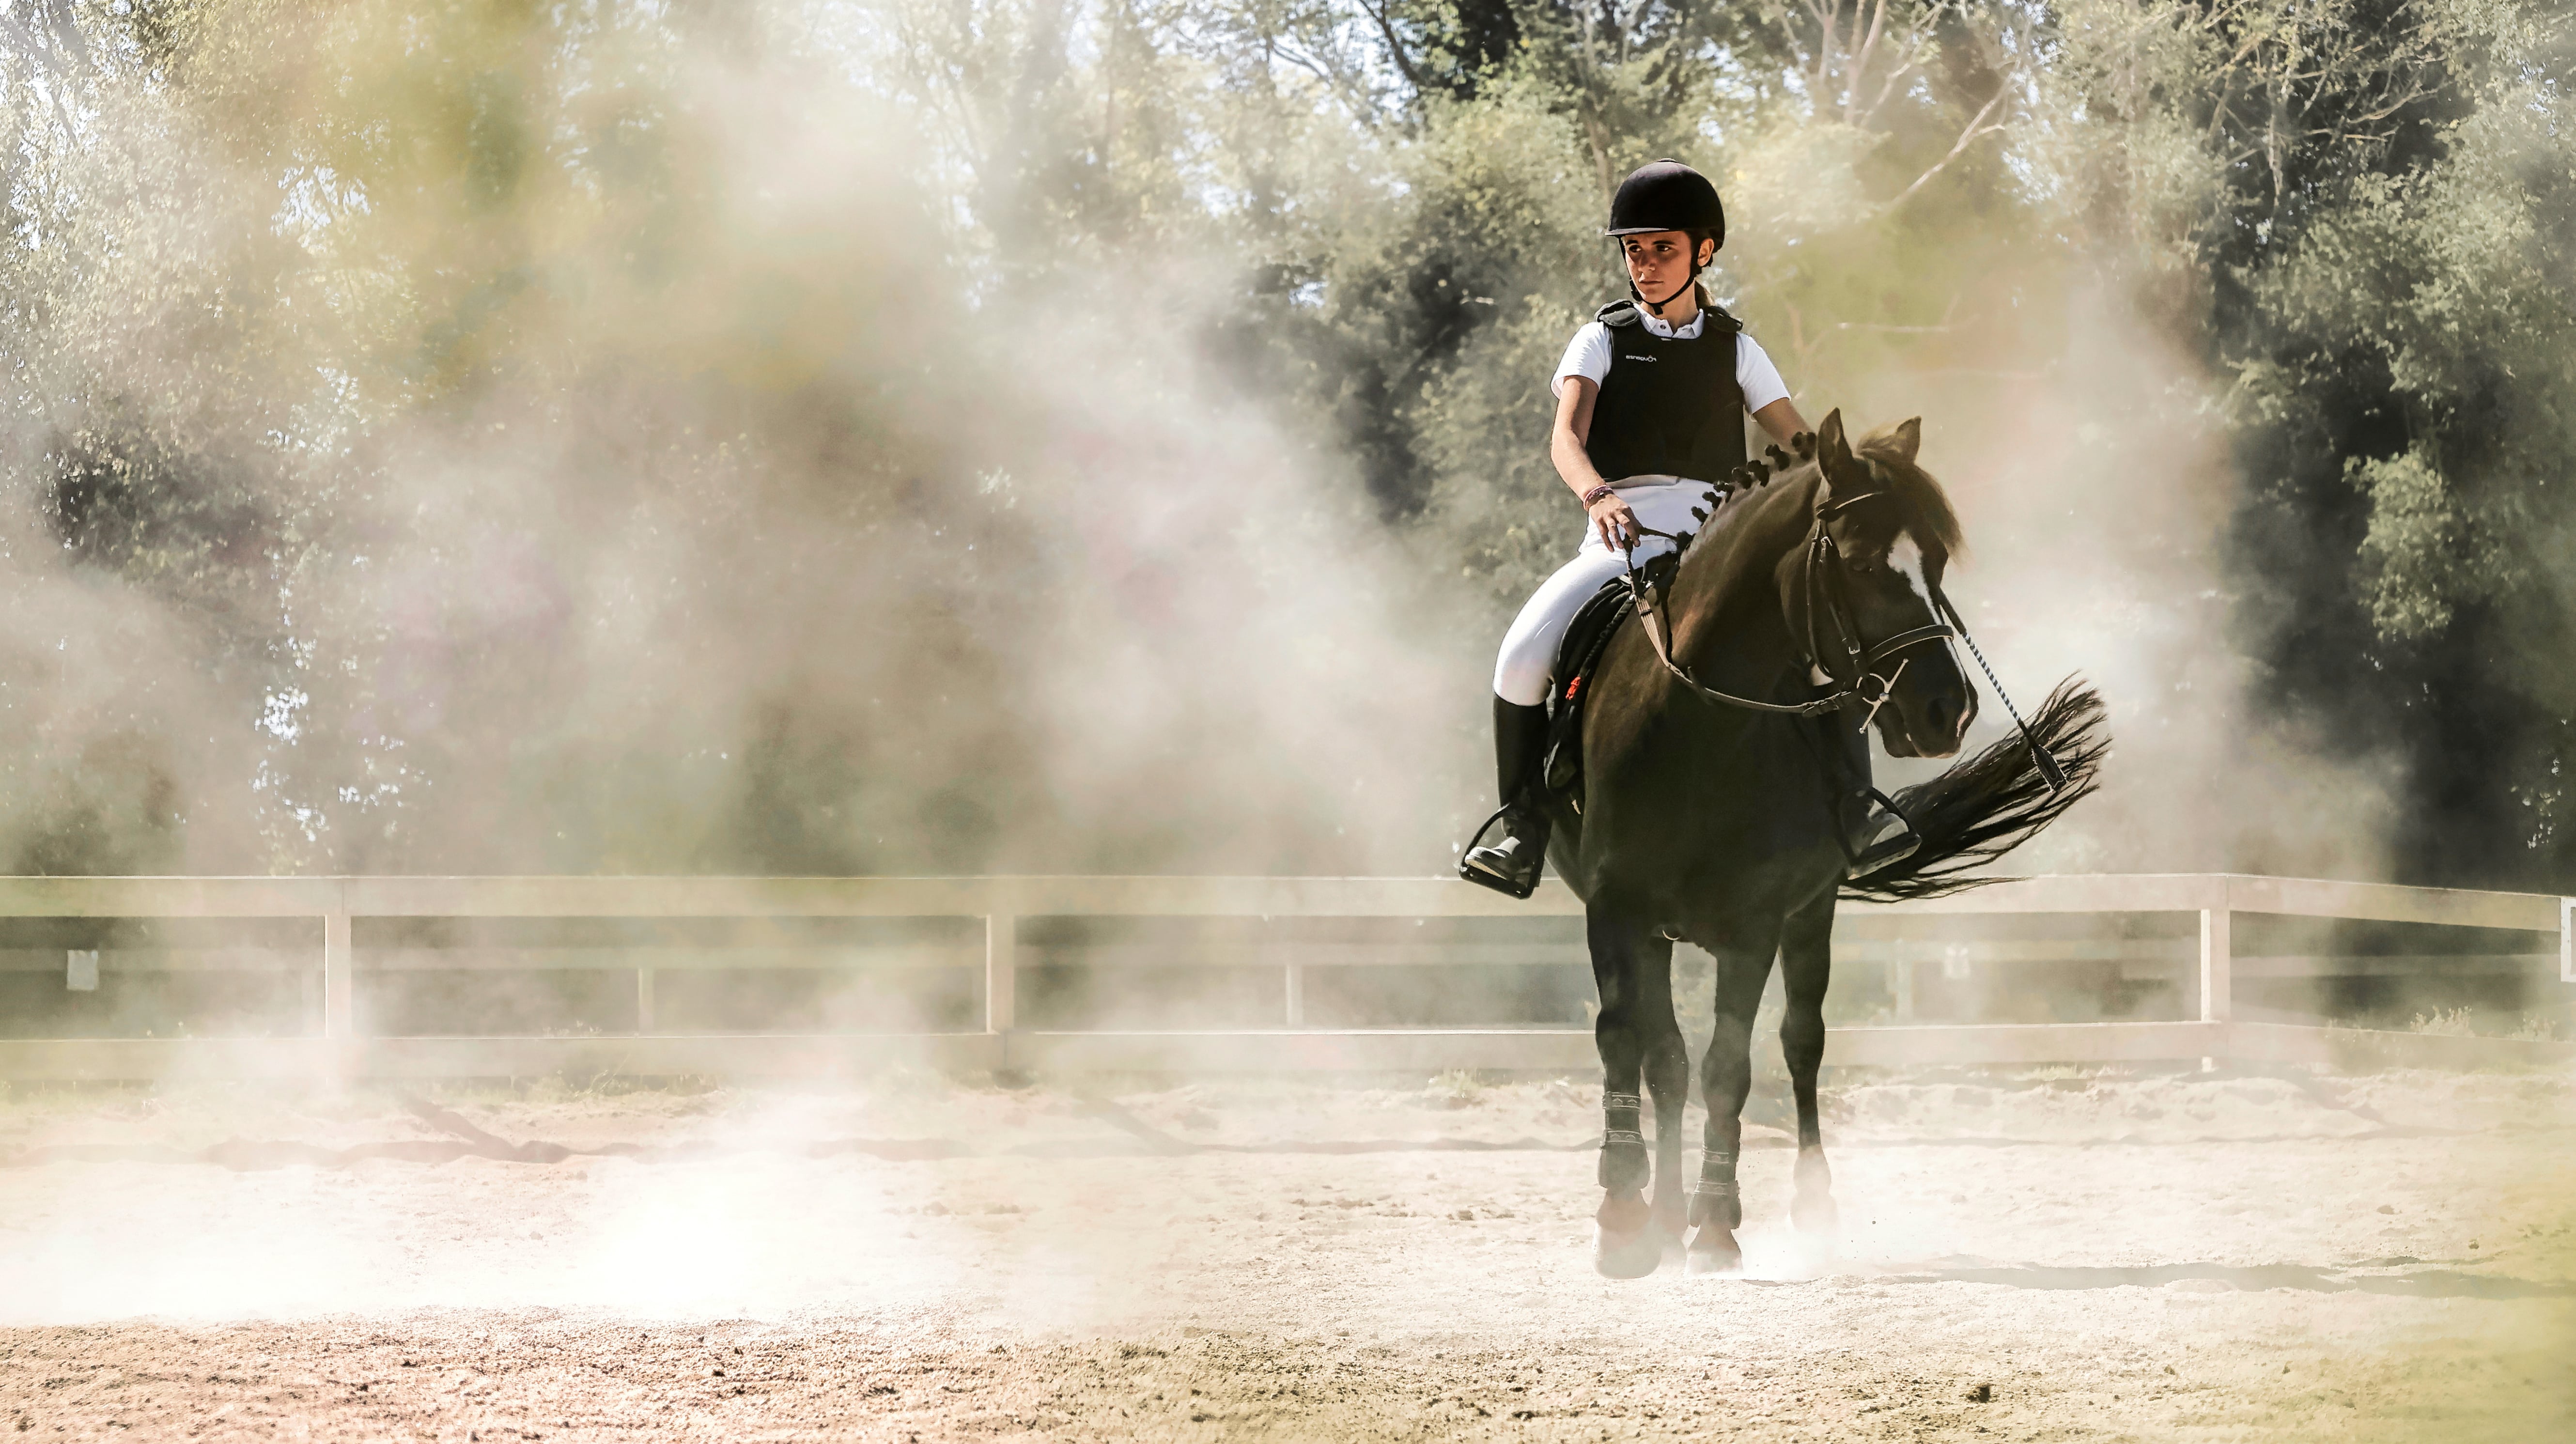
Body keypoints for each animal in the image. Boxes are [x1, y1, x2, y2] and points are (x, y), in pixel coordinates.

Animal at [1556, 409, 2102, 1271]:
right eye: (1863, 564)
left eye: (1935, 563)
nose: (1946, 711)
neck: (1698, 723)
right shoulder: (1614, 906)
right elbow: (1627, 1044)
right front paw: (1623, 1216)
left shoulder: (1752, 923)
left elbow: (1730, 1065)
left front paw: (1716, 1223)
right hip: (1659, 929)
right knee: (1664, 1059)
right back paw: (1663, 1216)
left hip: (1810, 913)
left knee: (1799, 1042)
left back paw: (1807, 1206)